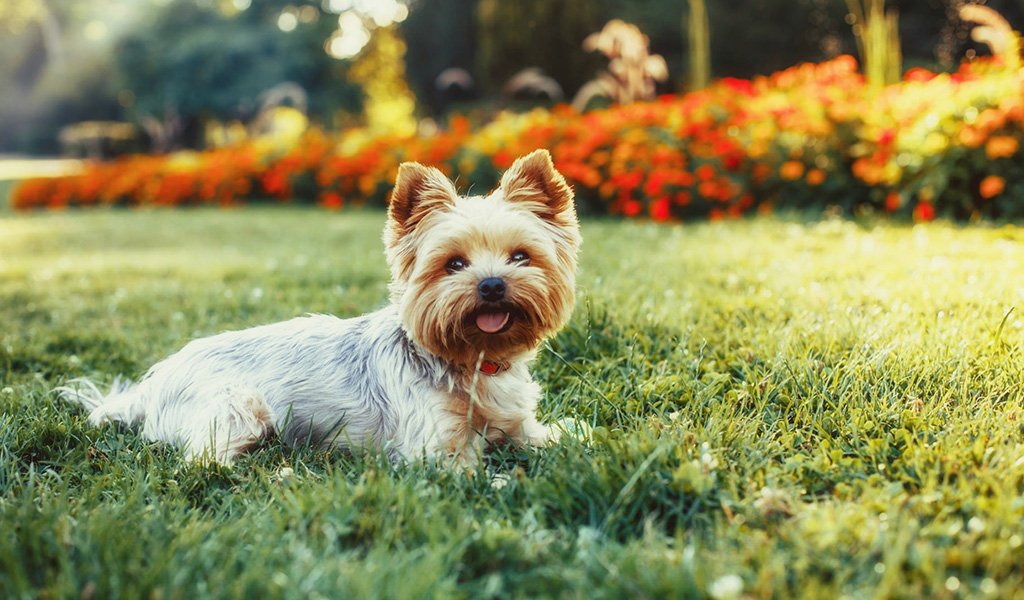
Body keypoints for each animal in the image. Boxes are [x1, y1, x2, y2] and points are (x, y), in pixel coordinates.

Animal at [59, 148, 581, 462]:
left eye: (520, 256)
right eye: (453, 264)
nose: (492, 285)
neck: (473, 360)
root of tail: (151, 384)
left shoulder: (519, 424)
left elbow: (547, 436)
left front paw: (579, 439)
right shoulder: (435, 448)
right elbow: (476, 474)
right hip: (240, 408)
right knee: (203, 460)